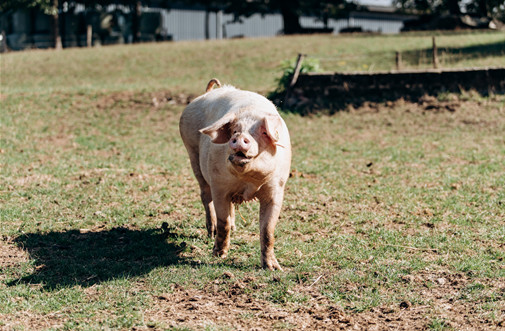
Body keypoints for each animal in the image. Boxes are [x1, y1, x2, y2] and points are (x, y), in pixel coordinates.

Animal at [180, 79, 292, 272]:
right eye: (234, 130)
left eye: (263, 132)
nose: (240, 137)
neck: (247, 181)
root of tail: (207, 93)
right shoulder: (219, 186)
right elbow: (223, 222)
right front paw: (218, 255)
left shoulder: (276, 189)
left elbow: (268, 230)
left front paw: (273, 268)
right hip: (193, 155)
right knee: (205, 197)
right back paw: (211, 233)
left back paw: (234, 228)